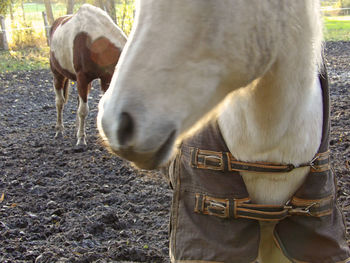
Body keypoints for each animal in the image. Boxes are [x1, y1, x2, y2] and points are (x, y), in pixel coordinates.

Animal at [48, 3, 126, 146]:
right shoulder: (82, 79)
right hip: (58, 75)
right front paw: (81, 140)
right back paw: (59, 130)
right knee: (59, 102)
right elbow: (83, 111)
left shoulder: (106, 79)